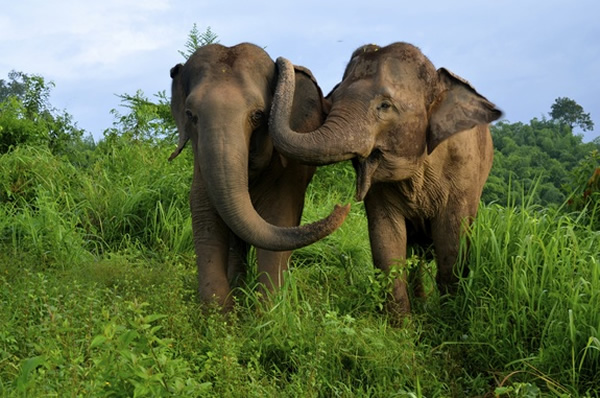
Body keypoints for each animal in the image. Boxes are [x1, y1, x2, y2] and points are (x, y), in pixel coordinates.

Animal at [168, 43, 346, 310]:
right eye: (190, 115)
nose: (341, 206)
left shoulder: (287, 171)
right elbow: (205, 214)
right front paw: (219, 314)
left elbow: (279, 216)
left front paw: (268, 311)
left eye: (258, 115)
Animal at [270, 42, 502, 316]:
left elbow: (452, 242)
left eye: (384, 106)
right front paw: (402, 324)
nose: (288, 63)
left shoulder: (463, 172)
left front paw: (448, 316)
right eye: (332, 100)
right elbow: (386, 239)